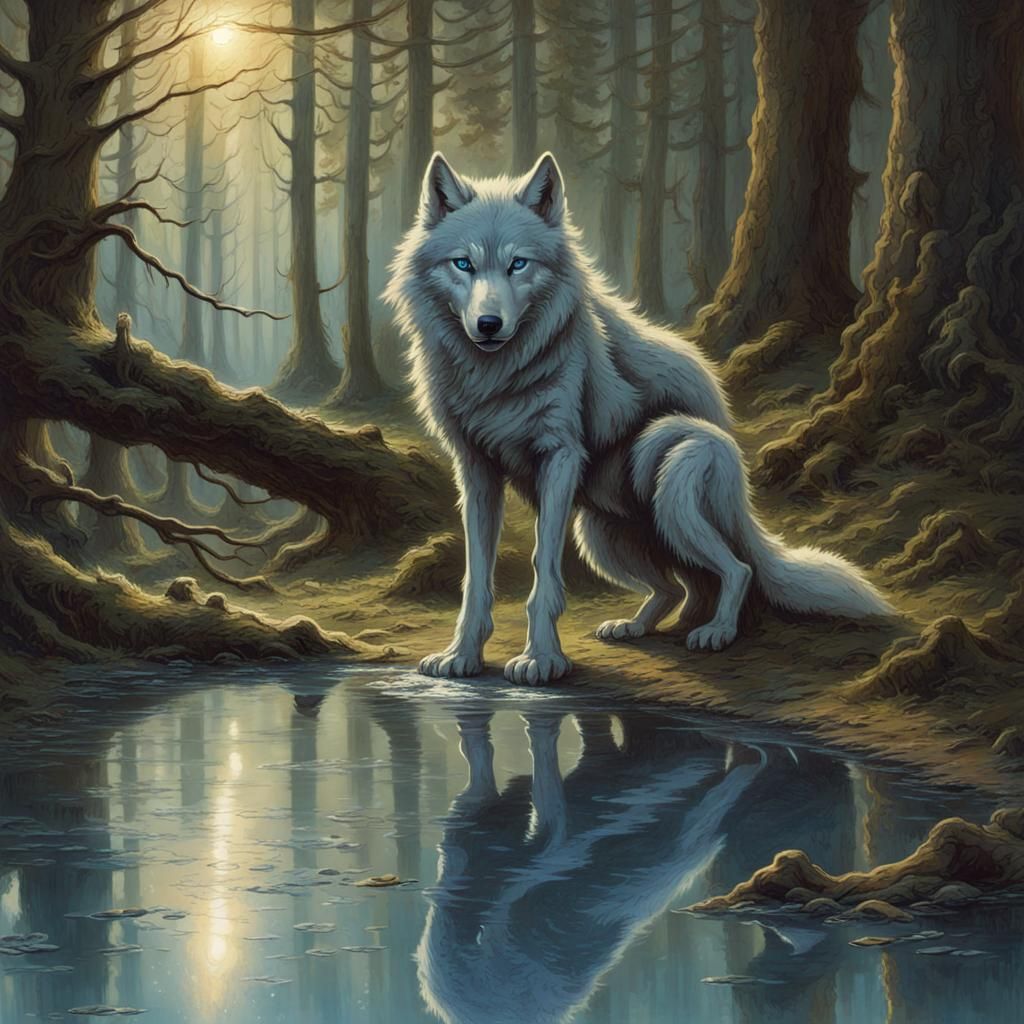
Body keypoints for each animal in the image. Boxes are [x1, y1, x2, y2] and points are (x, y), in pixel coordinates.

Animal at [384, 151, 891, 685]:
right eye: (463, 263)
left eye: (518, 263)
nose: (488, 325)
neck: (498, 376)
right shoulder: (476, 470)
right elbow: (477, 573)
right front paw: (461, 655)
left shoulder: (559, 459)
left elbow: (544, 569)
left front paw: (542, 660)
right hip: (599, 536)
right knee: (677, 587)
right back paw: (634, 626)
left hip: (670, 481)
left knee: (738, 569)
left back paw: (716, 632)